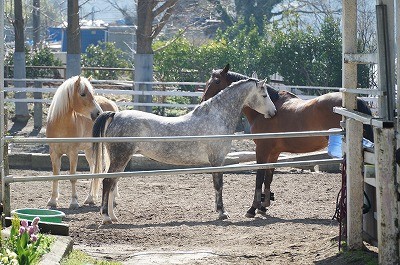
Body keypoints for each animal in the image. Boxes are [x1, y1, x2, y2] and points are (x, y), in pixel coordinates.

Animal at [46, 75, 118, 208]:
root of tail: (112, 104)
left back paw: (114, 198)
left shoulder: (73, 153)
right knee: (93, 169)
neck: (61, 125)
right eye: (83, 94)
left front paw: (74, 202)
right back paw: (90, 198)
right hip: (89, 150)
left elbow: (73, 177)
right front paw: (53, 200)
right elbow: (55, 176)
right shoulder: (54, 153)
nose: (98, 113)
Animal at [92, 78, 276, 223]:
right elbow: (218, 185)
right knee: (107, 182)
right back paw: (106, 217)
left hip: (121, 158)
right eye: (264, 95)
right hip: (120, 157)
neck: (217, 117)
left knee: (113, 182)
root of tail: (115, 115)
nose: (273, 112)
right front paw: (222, 213)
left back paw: (113, 216)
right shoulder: (217, 160)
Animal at [203, 64, 376, 217]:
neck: (267, 110)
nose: (203, 101)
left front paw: (253, 208)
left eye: (216, 81)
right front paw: (263, 206)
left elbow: (259, 177)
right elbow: (268, 177)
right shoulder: (274, 153)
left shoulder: (262, 150)